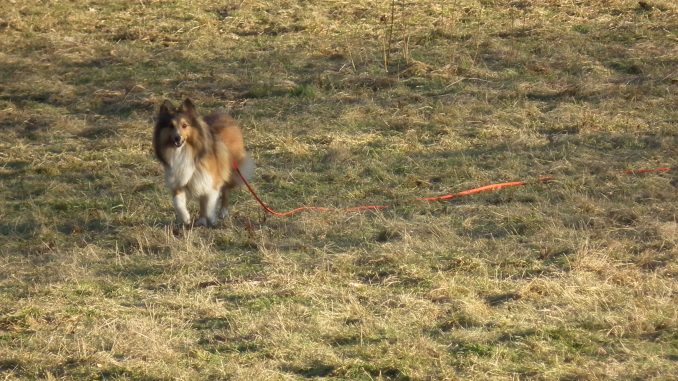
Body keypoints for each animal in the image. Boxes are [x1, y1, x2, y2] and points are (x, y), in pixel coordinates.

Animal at [154, 99, 255, 227]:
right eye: (170, 126)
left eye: (184, 125)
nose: (177, 138)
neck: (186, 151)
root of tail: (224, 114)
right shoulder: (179, 180)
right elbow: (178, 202)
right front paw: (186, 218)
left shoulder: (212, 180)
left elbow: (210, 204)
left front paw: (212, 219)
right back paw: (201, 220)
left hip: (229, 170)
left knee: (226, 191)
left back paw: (223, 212)